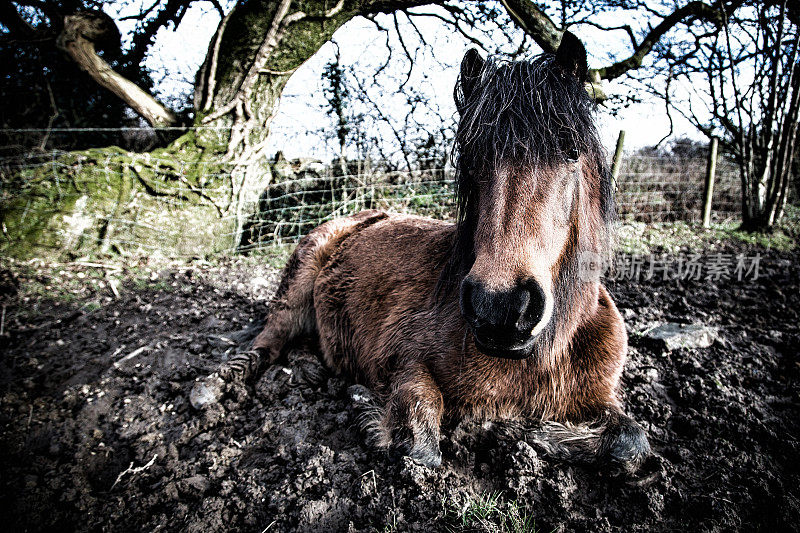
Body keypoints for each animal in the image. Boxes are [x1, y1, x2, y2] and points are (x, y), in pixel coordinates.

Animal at [195, 31, 648, 468]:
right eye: (470, 159)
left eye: (571, 151)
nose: (500, 307)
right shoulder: (402, 355)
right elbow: (420, 440)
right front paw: (364, 404)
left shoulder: (602, 395)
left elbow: (633, 441)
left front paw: (529, 433)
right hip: (295, 290)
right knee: (265, 344)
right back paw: (211, 388)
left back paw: (309, 370)